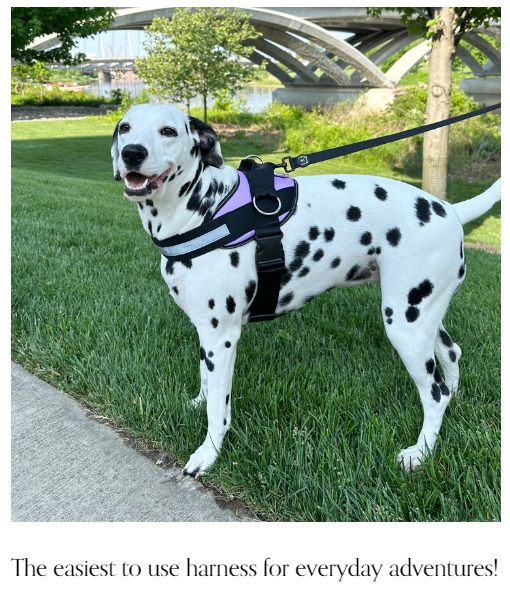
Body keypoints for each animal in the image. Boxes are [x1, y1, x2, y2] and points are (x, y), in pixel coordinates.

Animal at [112, 104, 502, 478]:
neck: (204, 212)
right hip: (423, 317)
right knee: (451, 356)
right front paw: (196, 403)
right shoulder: (205, 334)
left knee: (435, 394)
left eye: (168, 130)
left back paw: (420, 453)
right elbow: (205, 381)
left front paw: (207, 455)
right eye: (125, 127)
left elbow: (218, 409)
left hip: (405, 326)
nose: (132, 153)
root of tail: (449, 208)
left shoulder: (221, 338)